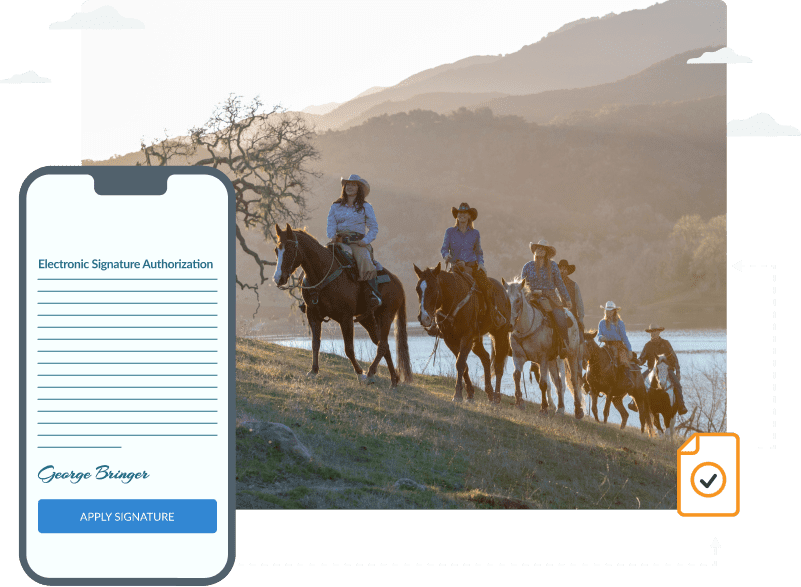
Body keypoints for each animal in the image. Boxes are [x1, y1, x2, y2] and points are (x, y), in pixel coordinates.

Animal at [274, 224, 412, 386]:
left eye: (290, 250)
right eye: (276, 250)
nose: (278, 278)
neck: (322, 274)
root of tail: (397, 281)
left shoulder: (345, 318)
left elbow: (349, 349)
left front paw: (360, 374)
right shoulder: (312, 315)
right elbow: (315, 343)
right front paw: (313, 371)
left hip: (386, 316)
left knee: (382, 345)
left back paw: (370, 373)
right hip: (368, 320)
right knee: (383, 345)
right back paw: (393, 381)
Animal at [412, 262, 512, 404]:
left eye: (433, 288)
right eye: (417, 289)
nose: (424, 318)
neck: (453, 298)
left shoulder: (466, 337)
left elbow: (460, 363)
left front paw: (457, 395)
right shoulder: (450, 339)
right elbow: (463, 365)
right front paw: (469, 394)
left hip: (499, 334)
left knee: (498, 364)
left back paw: (497, 398)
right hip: (477, 340)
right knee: (486, 358)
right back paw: (489, 392)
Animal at [504, 280, 584, 418]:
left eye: (518, 300)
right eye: (507, 298)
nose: (509, 325)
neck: (527, 327)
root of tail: (570, 314)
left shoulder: (543, 359)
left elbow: (543, 383)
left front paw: (544, 408)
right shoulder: (518, 356)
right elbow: (516, 376)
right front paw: (519, 402)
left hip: (572, 355)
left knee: (574, 380)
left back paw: (578, 411)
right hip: (553, 360)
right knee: (558, 382)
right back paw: (560, 408)